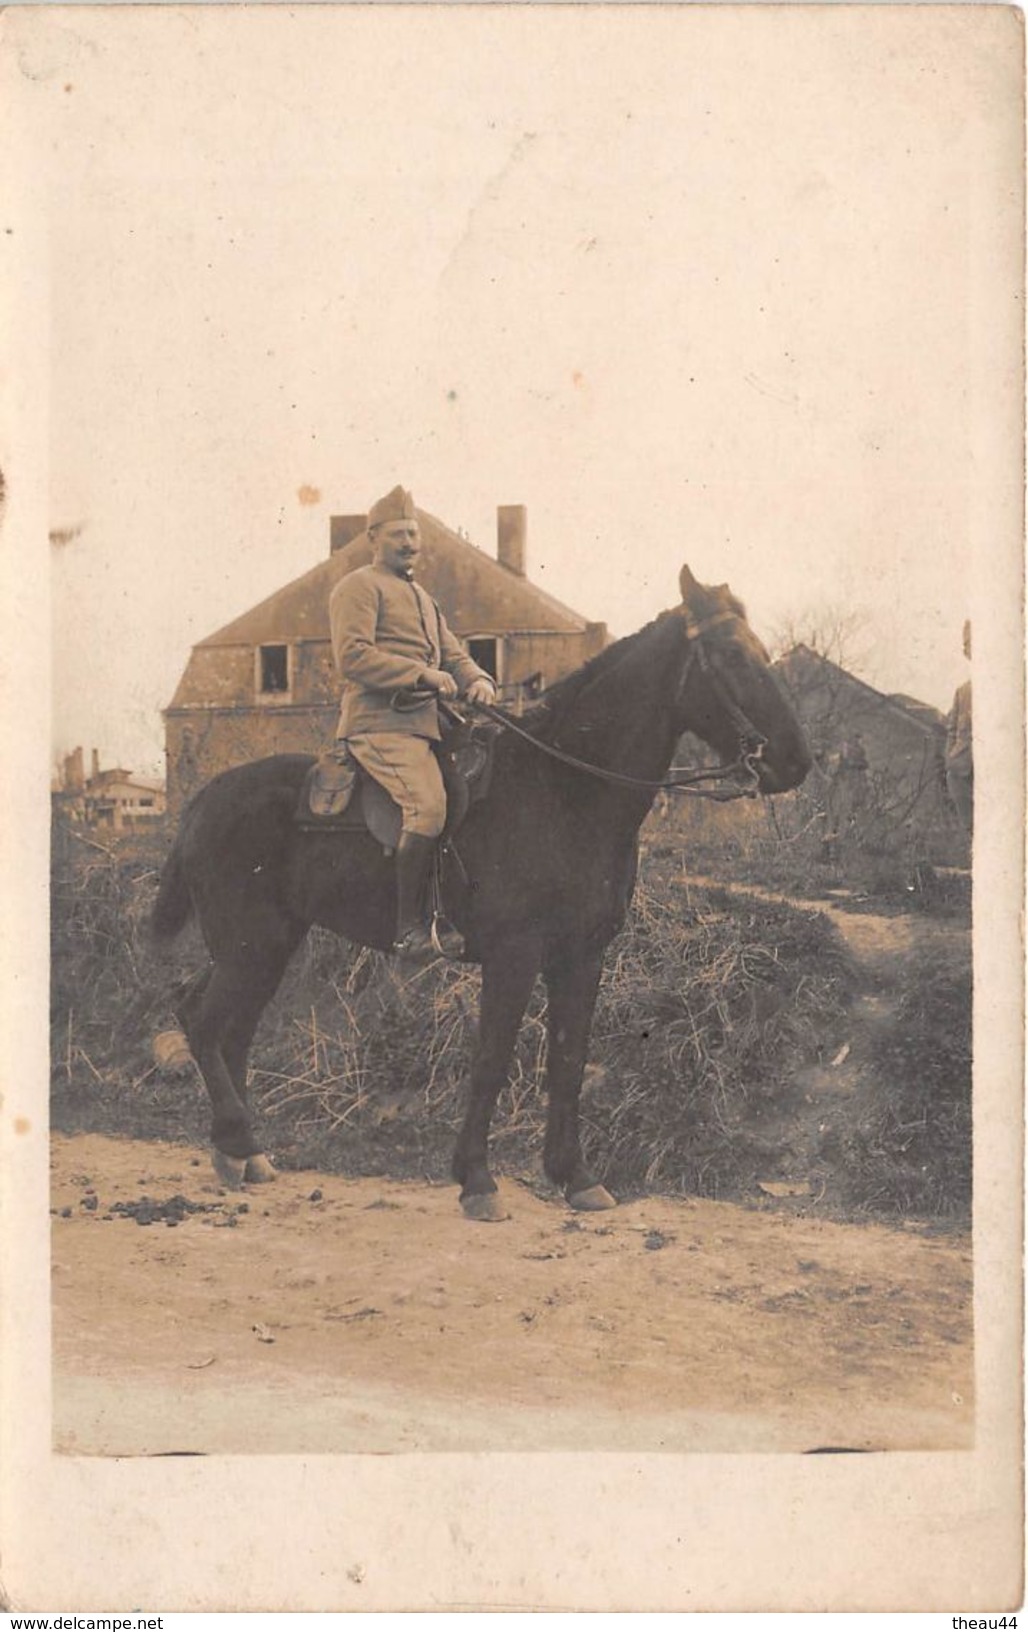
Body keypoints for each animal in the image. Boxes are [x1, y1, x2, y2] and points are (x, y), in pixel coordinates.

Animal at [153, 567, 812, 1220]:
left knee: (226, 1028)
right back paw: (238, 1141)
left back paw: (240, 1153)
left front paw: (575, 1176)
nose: (796, 761)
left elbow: (568, 1062)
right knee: (205, 1023)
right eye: (732, 654)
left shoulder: (582, 956)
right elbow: (493, 1061)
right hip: (251, 944)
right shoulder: (513, 957)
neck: (566, 790)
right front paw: (476, 1179)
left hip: (266, 947)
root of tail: (204, 800)